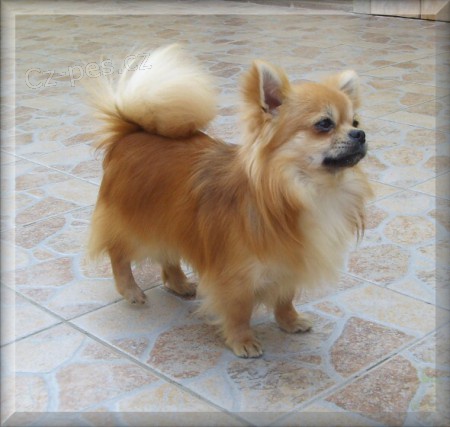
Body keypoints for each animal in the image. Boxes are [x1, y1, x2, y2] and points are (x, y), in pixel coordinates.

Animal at [87, 44, 372, 358]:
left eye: (355, 121)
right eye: (324, 124)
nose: (360, 134)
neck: (304, 190)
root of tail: (130, 131)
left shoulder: (288, 262)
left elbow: (285, 297)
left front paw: (289, 321)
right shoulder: (236, 275)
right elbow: (239, 310)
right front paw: (242, 340)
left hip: (170, 221)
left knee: (168, 255)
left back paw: (179, 283)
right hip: (136, 224)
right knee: (118, 253)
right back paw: (130, 290)